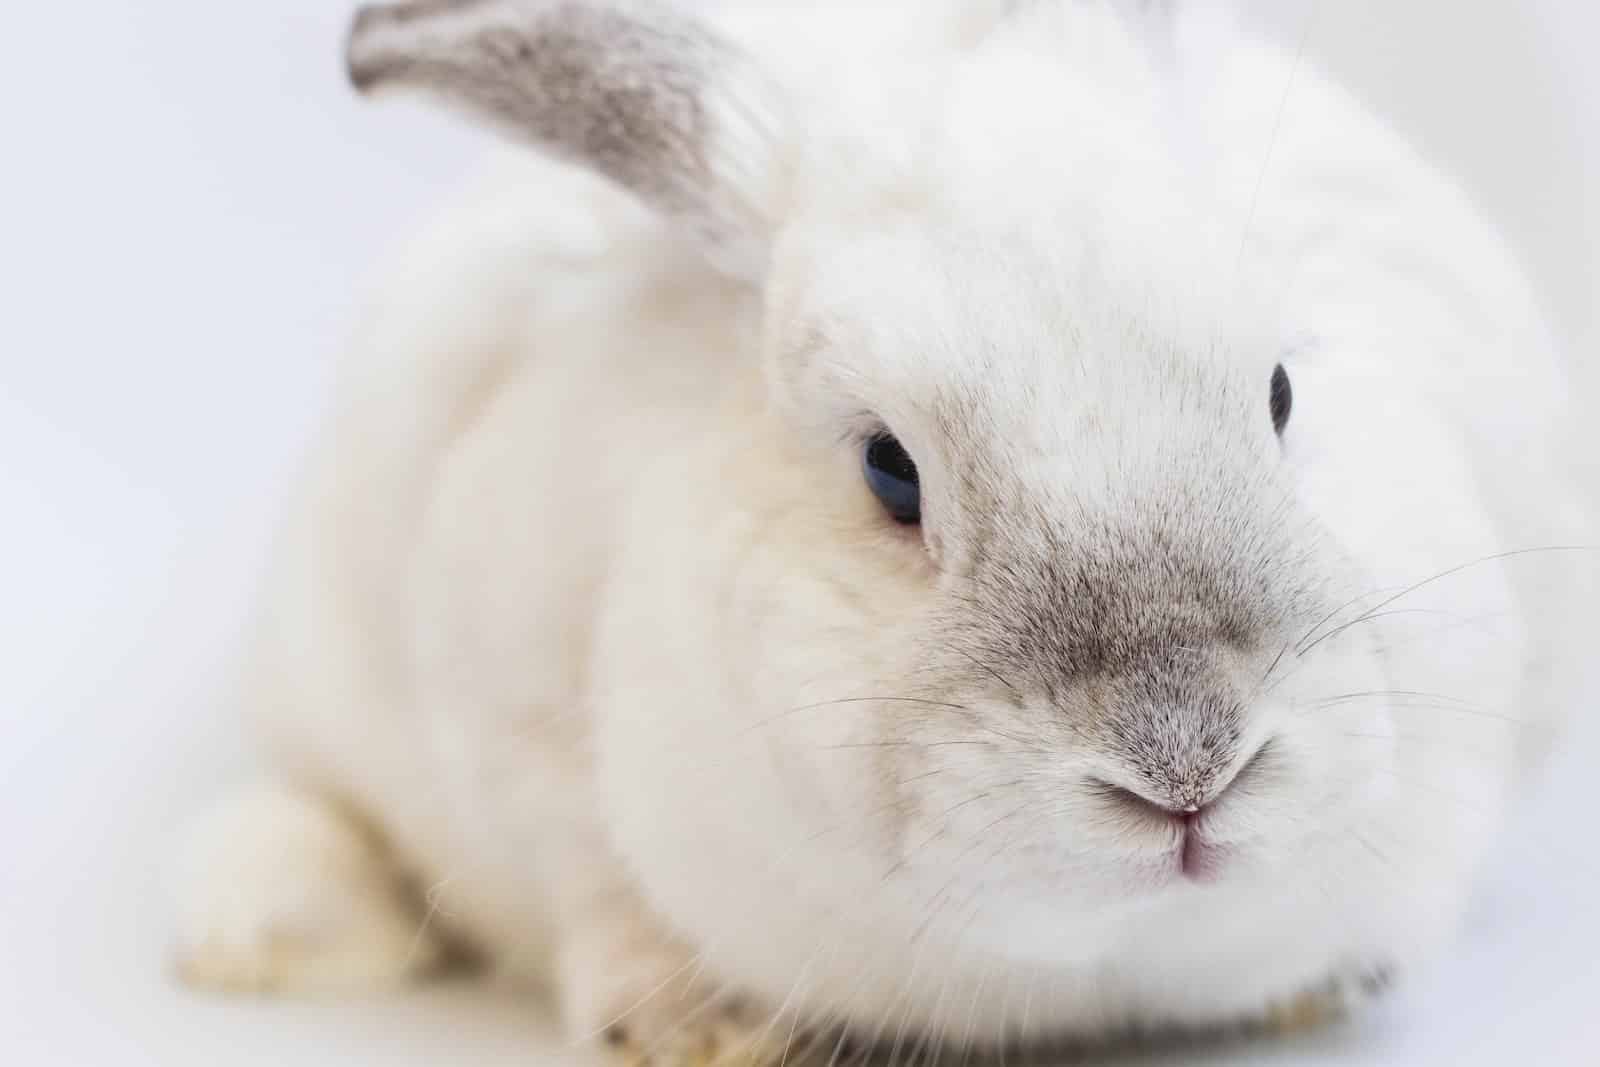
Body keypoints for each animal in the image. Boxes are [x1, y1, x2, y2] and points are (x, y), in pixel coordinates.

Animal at [169, 0, 1595, 1061]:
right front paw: (700, 1028)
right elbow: (594, 889)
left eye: (1283, 392)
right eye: (889, 471)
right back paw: (253, 935)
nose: (1187, 763)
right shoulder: (513, 730)